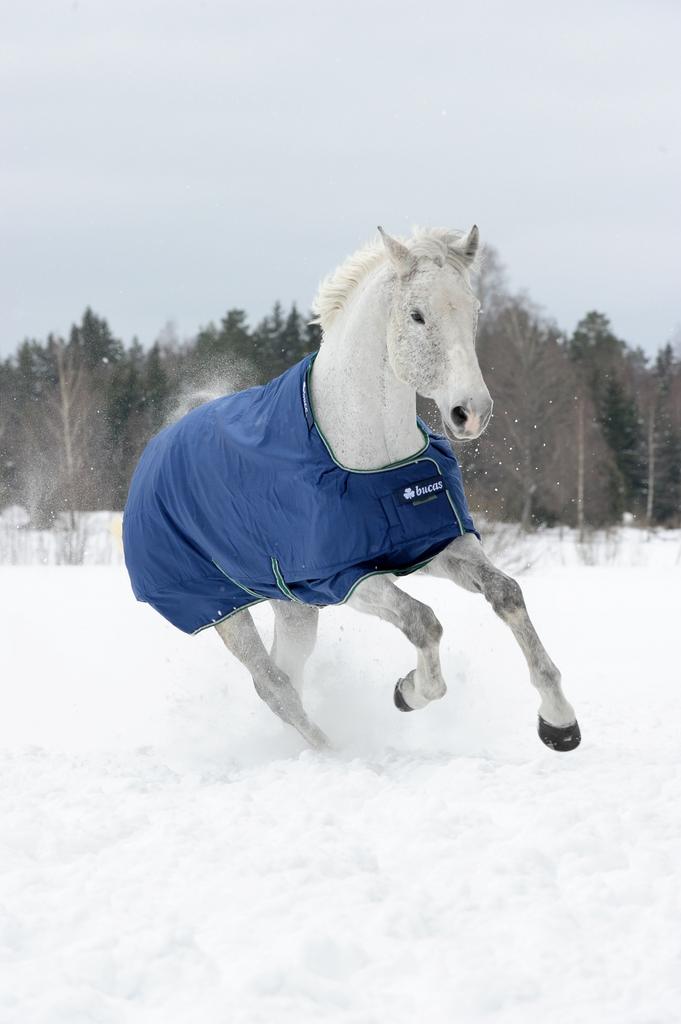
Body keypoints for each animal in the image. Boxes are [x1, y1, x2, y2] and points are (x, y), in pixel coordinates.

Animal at [123, 226, 580, 753]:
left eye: (474, 308)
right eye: (416, 314)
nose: (471, 412)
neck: (367, 452)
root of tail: (158, 447)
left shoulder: (435, 546)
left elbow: (507, 594)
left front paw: (559, 723)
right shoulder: (346, 580)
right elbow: (424, 621)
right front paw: (409, 692)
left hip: (292, 607)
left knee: (287, 673)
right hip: (219, 610)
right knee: (273, 686)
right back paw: (329, 751)